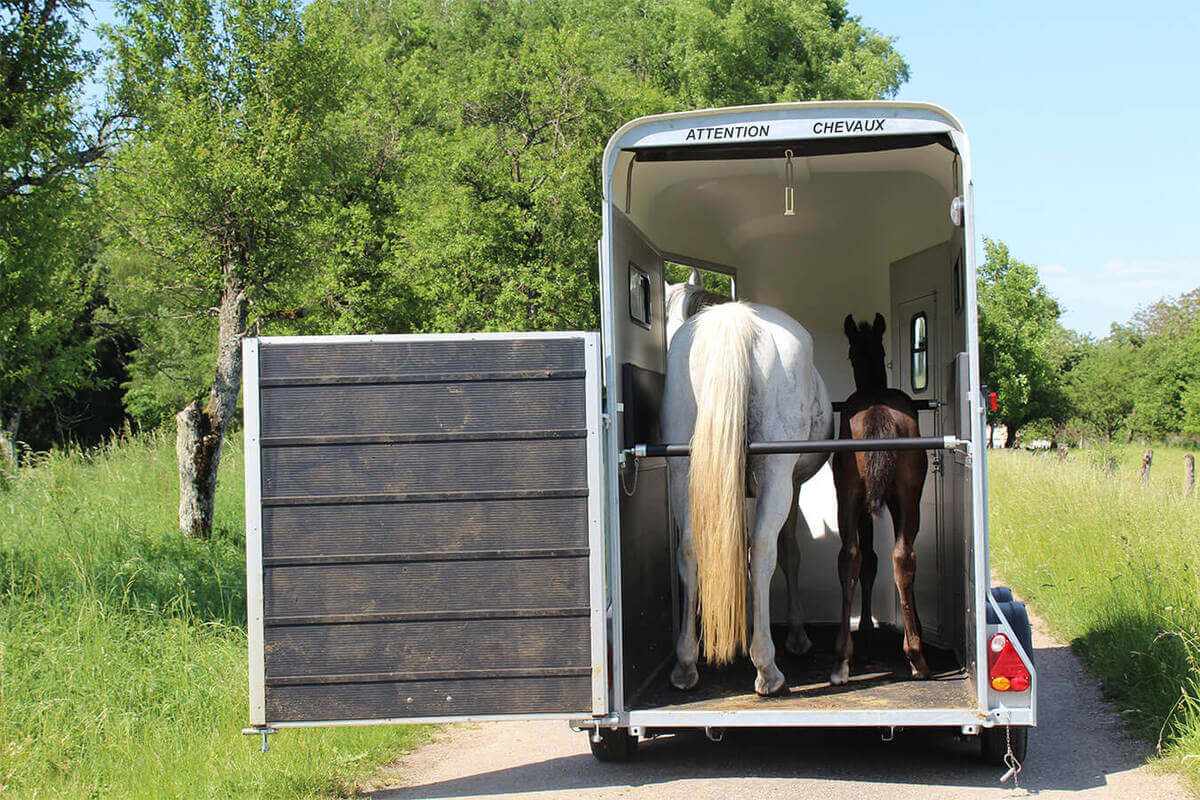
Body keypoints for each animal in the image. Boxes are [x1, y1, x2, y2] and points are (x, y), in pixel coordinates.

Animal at [661, 274, 832, 695]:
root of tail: (734, 322)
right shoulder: (792, 484)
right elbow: (787, 553)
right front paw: (796, 636)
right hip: (777, 476)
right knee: (765, 551)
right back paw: (767, 666)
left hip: (682, 470)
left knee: (690, 550)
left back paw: (686, 664)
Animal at [830, 313, 931, 685]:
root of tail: (879, 412)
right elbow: (872, 561)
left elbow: (869, 561)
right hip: (904, 497)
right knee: (897, 556)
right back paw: (914, 654)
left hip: (851, 496)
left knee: (856, 557)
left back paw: (844, 659)